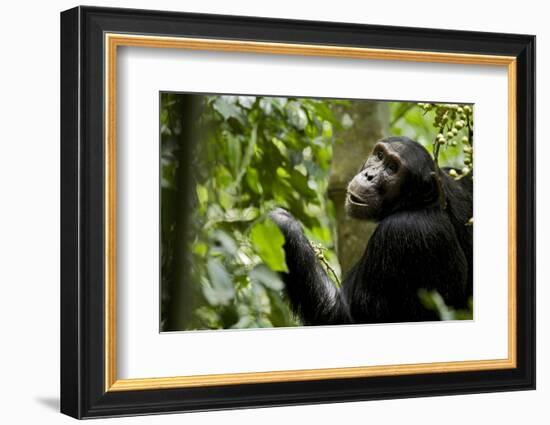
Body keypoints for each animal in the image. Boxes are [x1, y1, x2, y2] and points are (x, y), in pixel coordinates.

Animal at [272, 136, 474, 324]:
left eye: (392, 168)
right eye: (379, 156)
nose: (369, 175)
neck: (420, 204)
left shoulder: (403, 230)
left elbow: (345, 316)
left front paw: (283, 223)